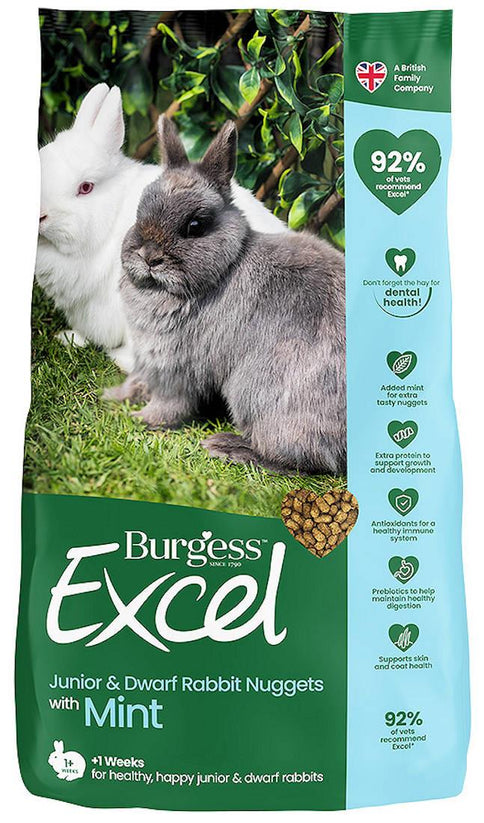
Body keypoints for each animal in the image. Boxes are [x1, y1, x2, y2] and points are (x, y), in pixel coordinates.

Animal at [109, 116, 346, 475]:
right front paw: (114, 396)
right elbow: (137, 380)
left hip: (257, 392)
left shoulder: (175, 366)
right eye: (139, 213)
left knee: (302, 458)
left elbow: (169, 403)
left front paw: (143, 419)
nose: (149, 257)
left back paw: (226, 446)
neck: (224, 268)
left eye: (194, 226)